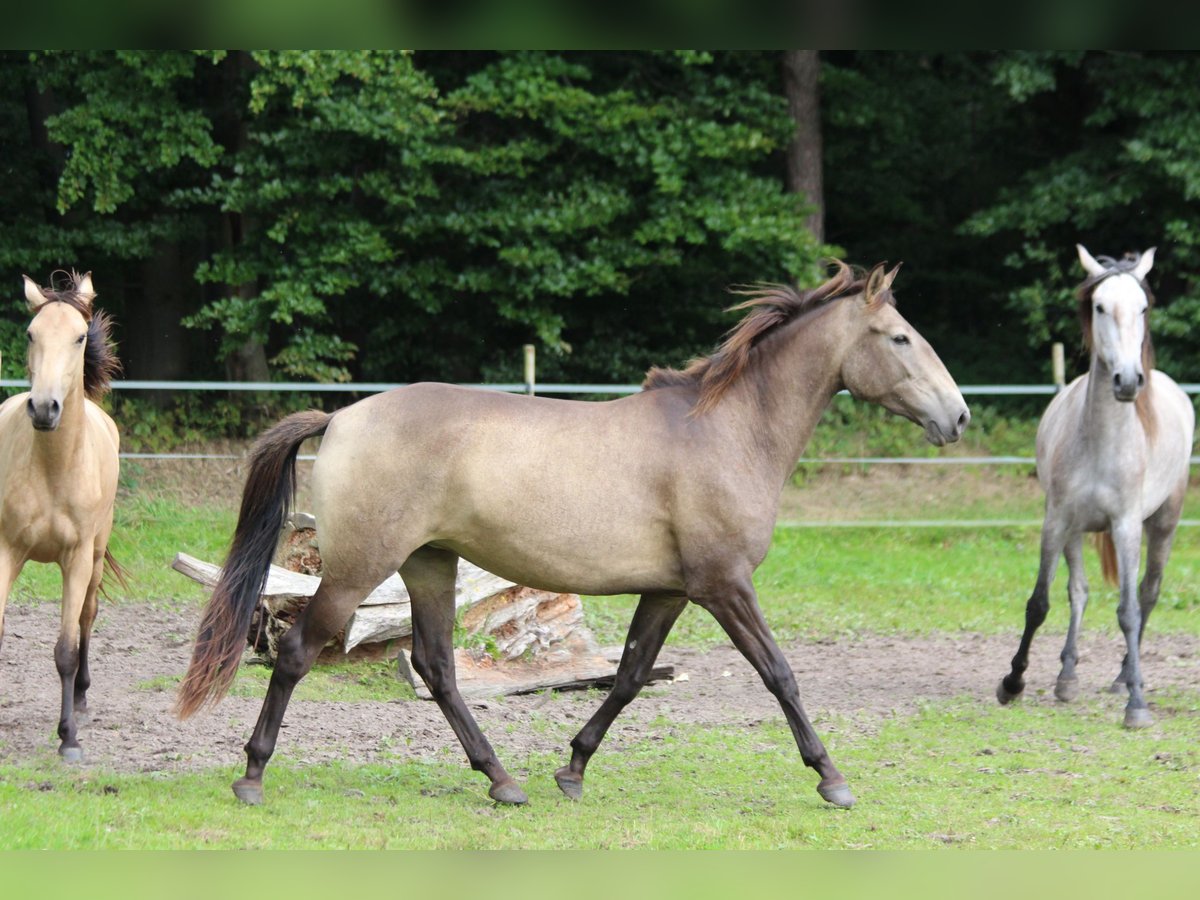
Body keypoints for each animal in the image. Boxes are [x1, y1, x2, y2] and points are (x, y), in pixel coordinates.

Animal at [998, 244, 1195, 724]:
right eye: (1100, 307)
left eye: (1143, 307)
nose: (1127, 380)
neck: (1102, 441)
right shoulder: (1057, 521)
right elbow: (1042, 602)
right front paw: (1013, 682)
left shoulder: (1126, 527)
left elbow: (1128, 610)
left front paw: (1136, 704)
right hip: (1075, 531)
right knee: (1079, 592)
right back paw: (1068, 676)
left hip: (1163, 524)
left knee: (1148, 594)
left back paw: (1125, 676)